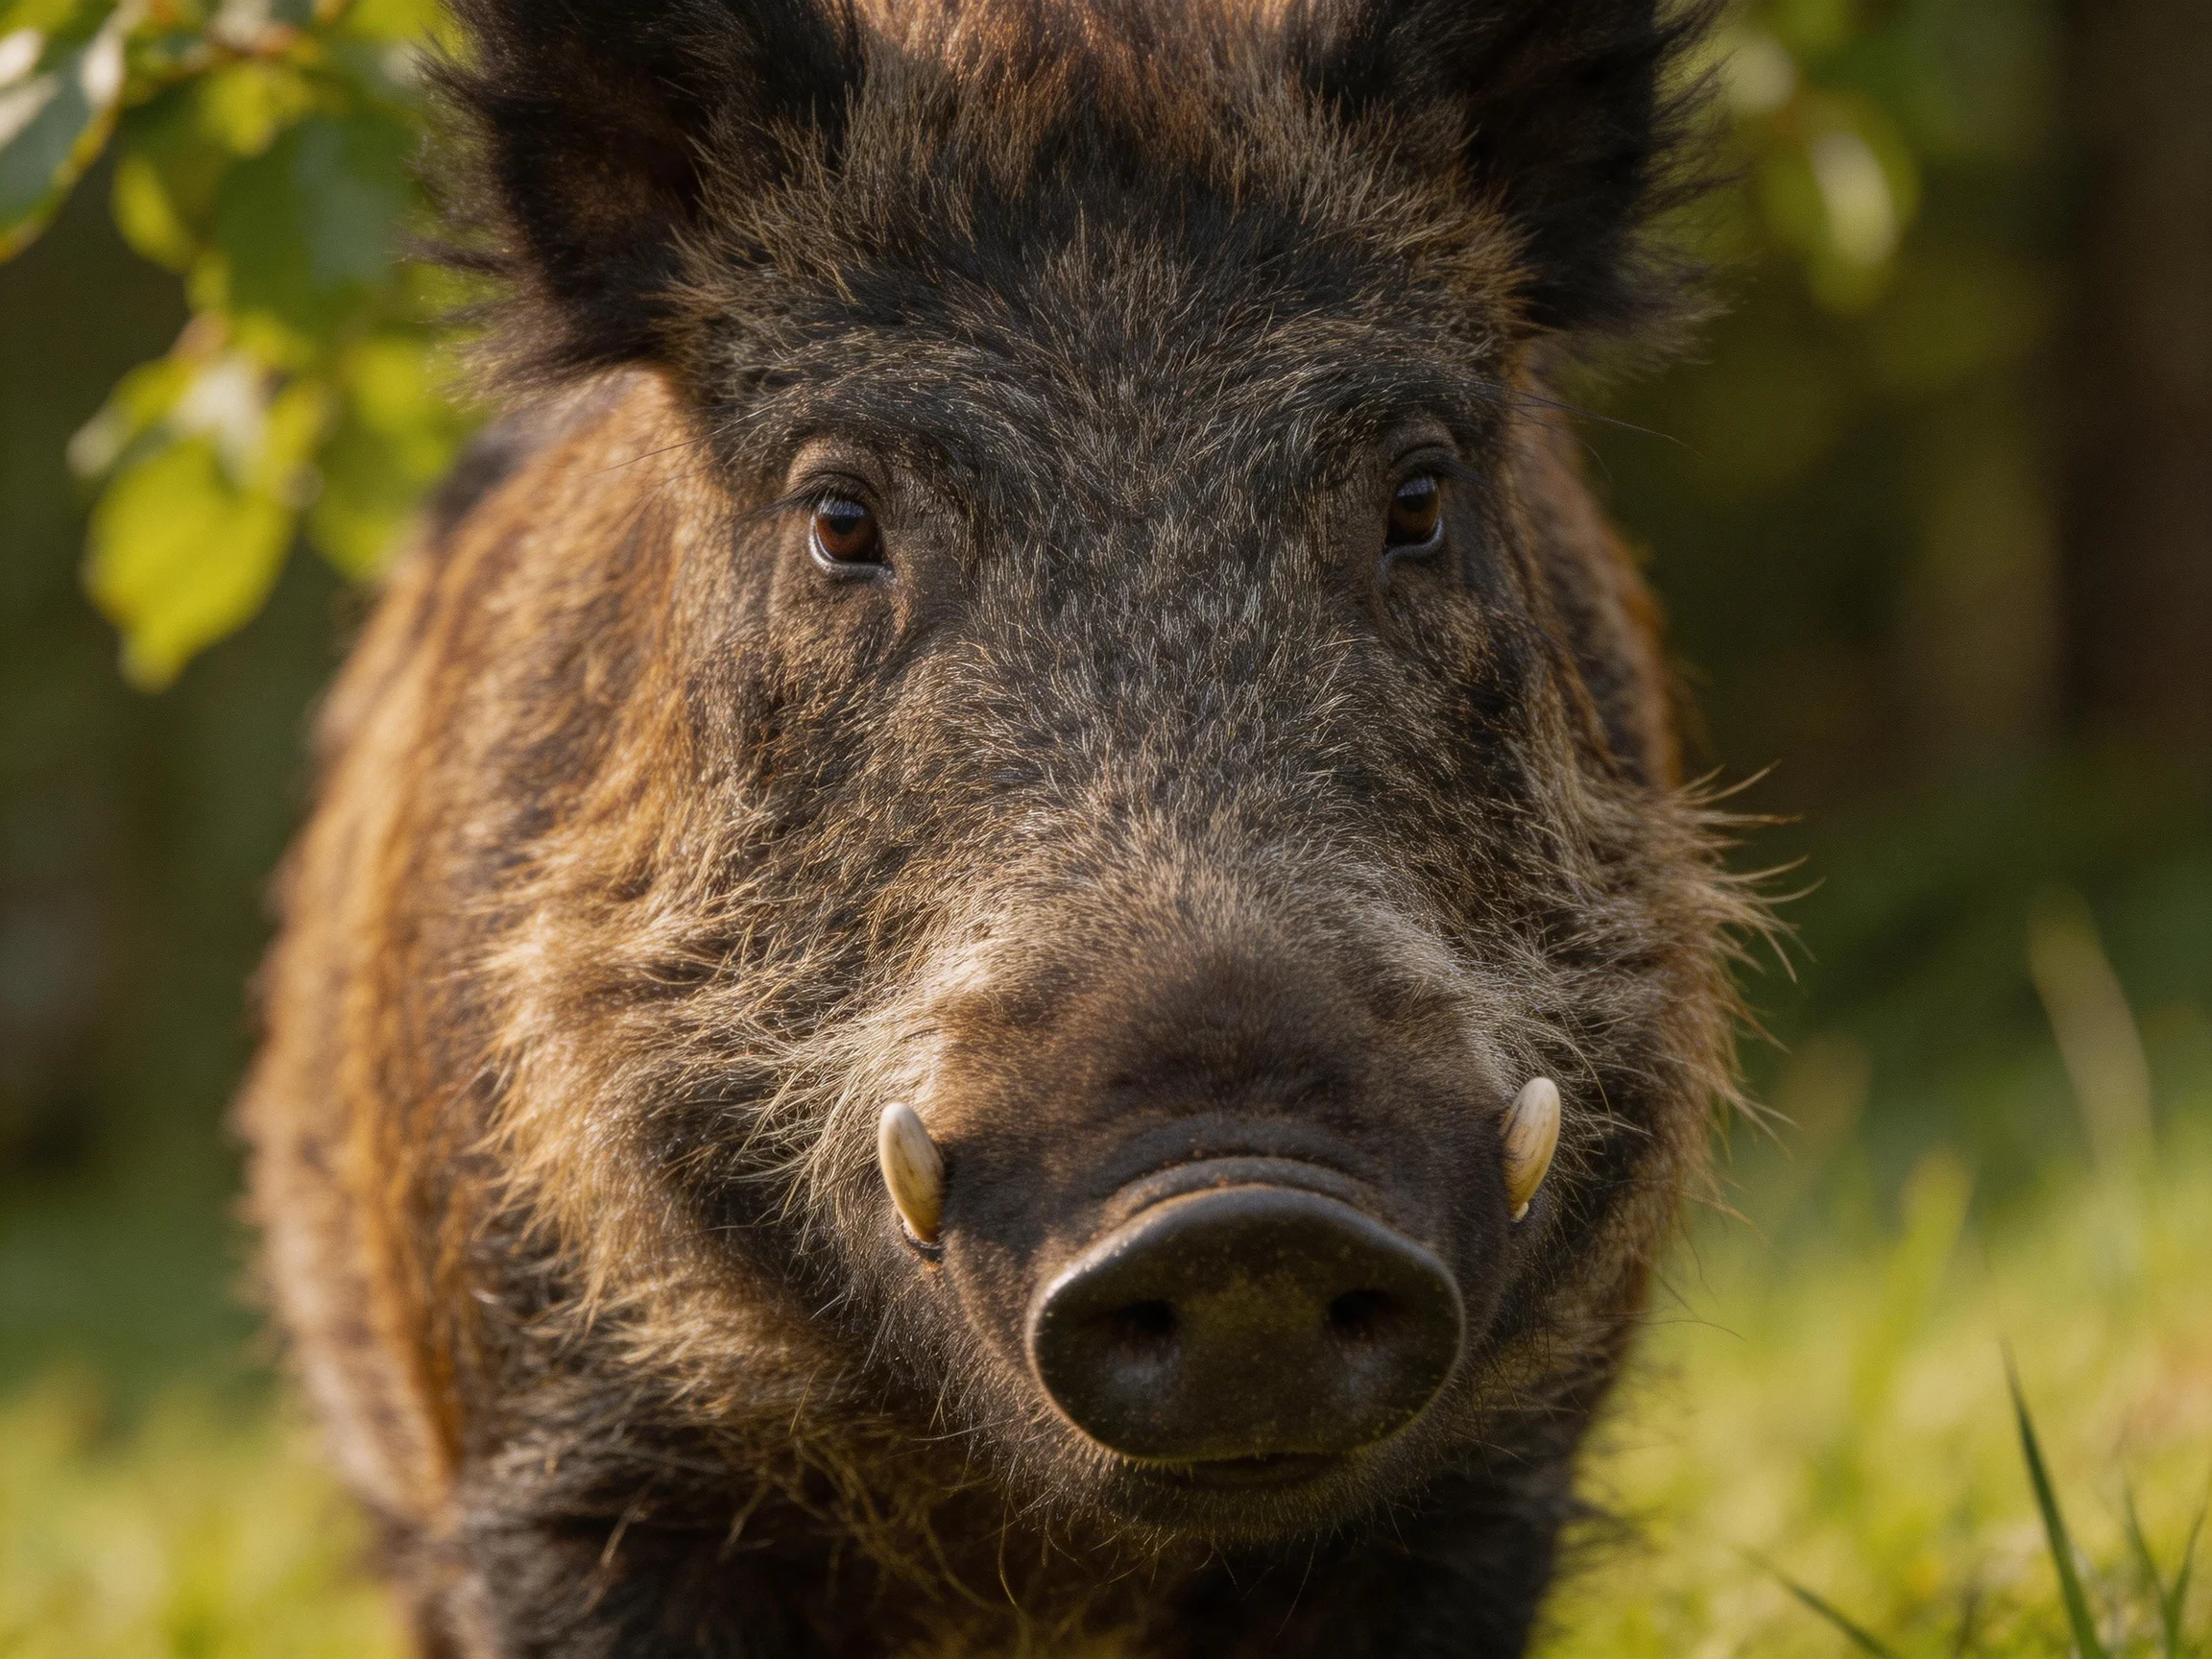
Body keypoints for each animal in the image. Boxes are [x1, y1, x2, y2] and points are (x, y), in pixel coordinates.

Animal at [238, 0, 1757, 1653]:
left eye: (1418, 496)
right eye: (841, 520)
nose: (1240, 1213)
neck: (1033, 1558)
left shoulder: (1488, 1486)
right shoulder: (565, 1473)